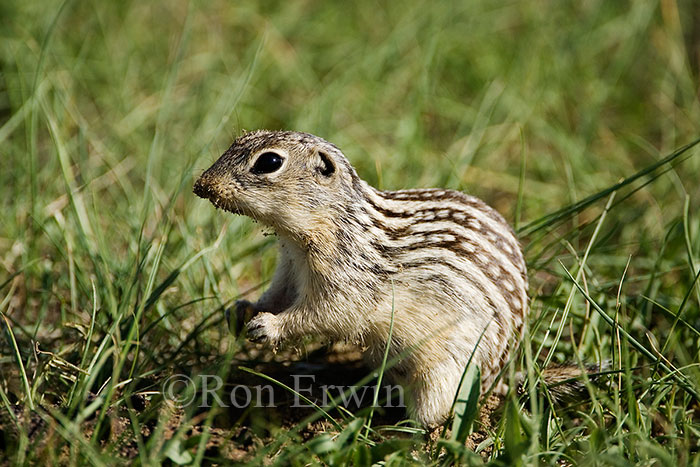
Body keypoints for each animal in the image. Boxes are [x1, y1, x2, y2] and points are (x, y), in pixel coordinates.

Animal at [193, 130, 530, 428]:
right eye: (238, 140)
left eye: (270, 162)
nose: (200, 185)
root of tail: (499, 379)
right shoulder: (289, 269)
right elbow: (277, 296)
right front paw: (241, 311)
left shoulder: (347, 282)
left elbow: (325, 315)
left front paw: (269, 326)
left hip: (445, 376)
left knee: (434, 417)